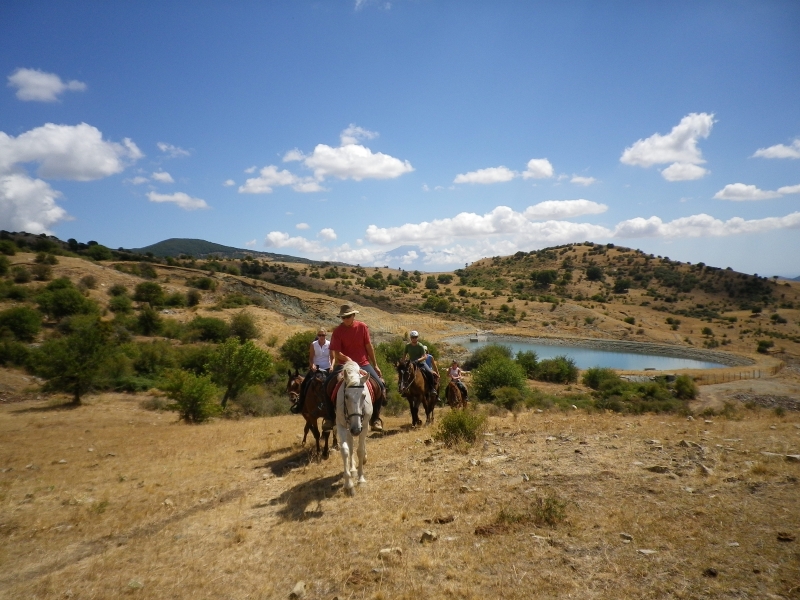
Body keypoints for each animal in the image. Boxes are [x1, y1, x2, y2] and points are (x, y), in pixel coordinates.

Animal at [334, 360, 372, 496]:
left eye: (364, 396)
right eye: (346, 396)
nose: (356, 430)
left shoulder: (364, 426)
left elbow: (360, 450)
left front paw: (361, 479)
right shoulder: (341, 425)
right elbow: (345, 450)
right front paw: (348, 484)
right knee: (350, 446)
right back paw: (352, 469)